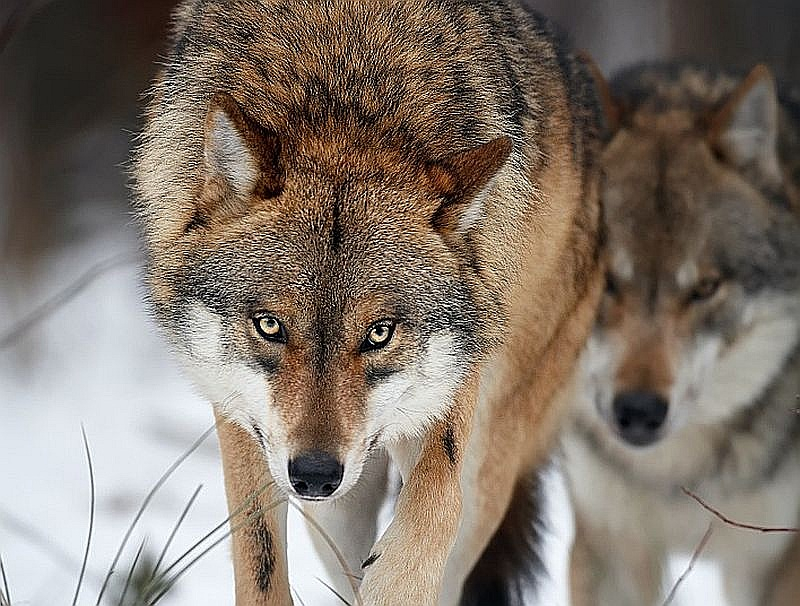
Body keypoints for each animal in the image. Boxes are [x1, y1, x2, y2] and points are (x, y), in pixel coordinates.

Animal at [134, 2, 604, 604]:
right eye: (268, 326)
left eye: (380, 333)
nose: (314, 473)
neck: (346, 98)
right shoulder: (241, 417)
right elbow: (257, 556)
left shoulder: (452, 390)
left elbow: (433, 509)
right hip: (334, 508)